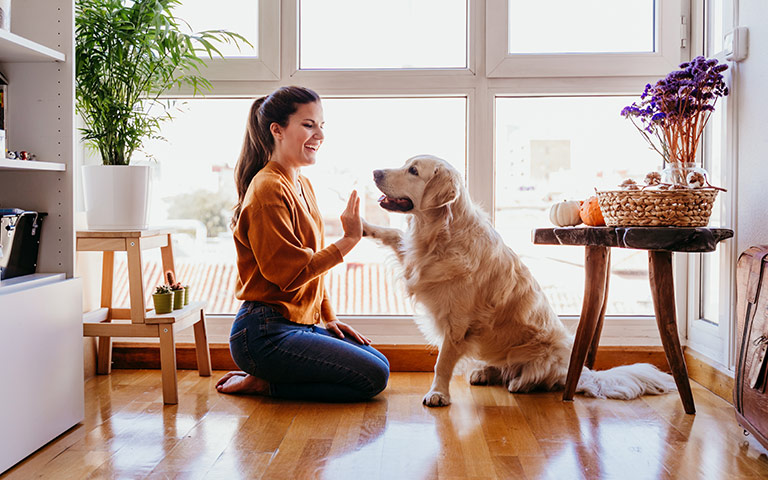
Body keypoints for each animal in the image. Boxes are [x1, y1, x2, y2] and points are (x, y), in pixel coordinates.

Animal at [364, 156, 676, 406]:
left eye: (413, 171)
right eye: (406, 164)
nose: (375, 172)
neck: (440, 233)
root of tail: (578, 371)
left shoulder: (457, 324)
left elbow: (442, 363)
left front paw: (438, 394)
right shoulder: (415, 260)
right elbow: (393, 235)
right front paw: (364, 226)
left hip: (545, 352)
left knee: (538, 378)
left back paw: (520, 383)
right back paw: (484, 372)